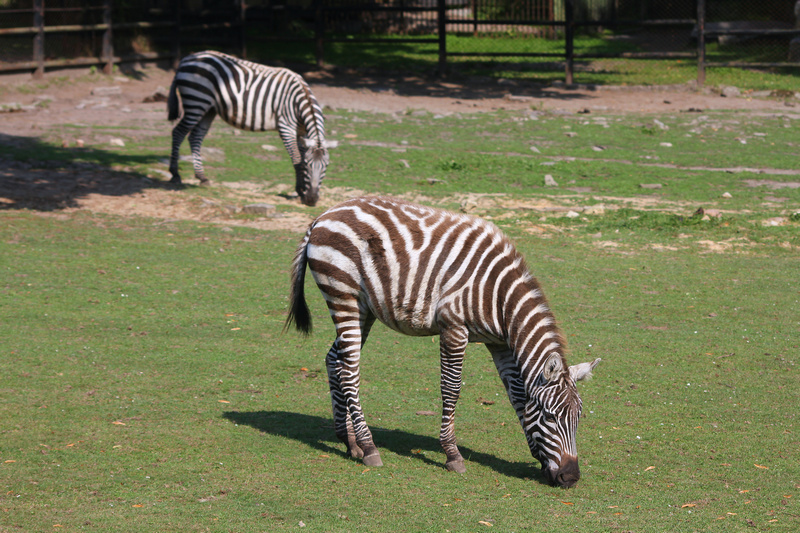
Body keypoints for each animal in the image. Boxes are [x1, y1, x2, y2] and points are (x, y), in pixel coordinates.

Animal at [166, 51, 334, 206]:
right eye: (308, 166)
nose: (312, 200)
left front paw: (302, 190)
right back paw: (175, 174)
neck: (298, 102)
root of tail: (187, 58)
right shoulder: (286, 128)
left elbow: (300, 155)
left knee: (195, 136)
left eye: (326, 166)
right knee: (178, 132)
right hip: (196, 101)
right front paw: (299, 191)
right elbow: (296, 160)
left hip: (208, 108)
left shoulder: (301, 133)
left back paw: (202, 177)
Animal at [288, 195, 600, 486]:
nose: (570, 477)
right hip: (343, 296)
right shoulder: (454, 328)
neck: (499, 298)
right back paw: (368, 447)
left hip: (364, 308)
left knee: (335, 360)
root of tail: (323, 216)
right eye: (550, 417)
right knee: (350, 370)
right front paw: (452, 454)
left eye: (579, 417)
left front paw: (537, 455)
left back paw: (348, 440)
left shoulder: (499, 344)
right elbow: (451, 389)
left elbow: (517, 396)